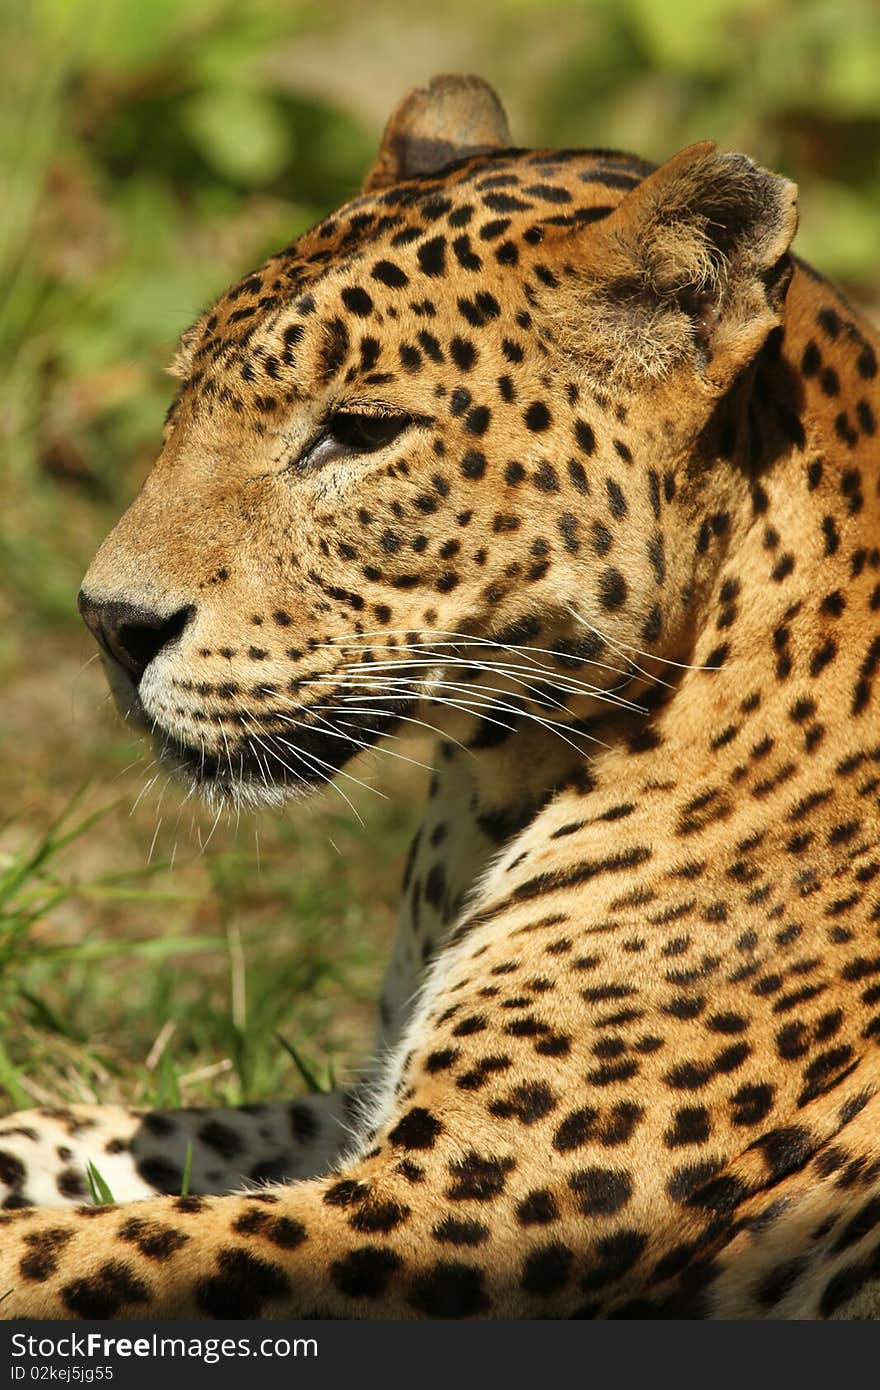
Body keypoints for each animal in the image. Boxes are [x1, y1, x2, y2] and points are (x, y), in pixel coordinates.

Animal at [1, 73, 878, 1312]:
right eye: (182, 400)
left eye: (357, 433)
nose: (109, 623)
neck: (495, 787)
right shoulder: (364, 1112)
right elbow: (118, 1134)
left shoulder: (455, 1208)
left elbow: (78, 1245)